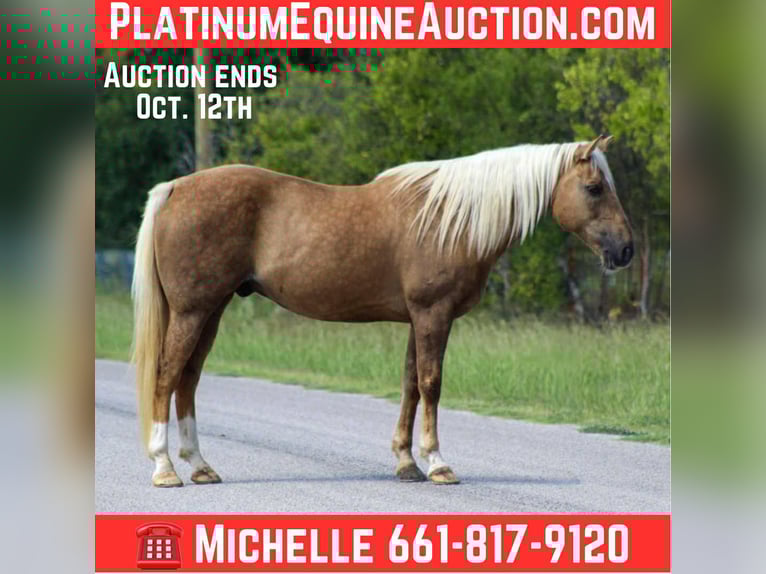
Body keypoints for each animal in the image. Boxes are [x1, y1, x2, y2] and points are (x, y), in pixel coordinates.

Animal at [131, 134, 633, 488]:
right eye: (593, 188)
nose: (625, 250)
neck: (451, 218)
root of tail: (175, 189)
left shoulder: (417, 319)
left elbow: (410, 384)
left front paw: (407, 462)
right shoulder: (433, 314)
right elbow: (431, 384)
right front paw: (438, 463)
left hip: (210, 312)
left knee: (188, 380)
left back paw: (200, 466)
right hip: (193, 312)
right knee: (167, 376)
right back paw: (165, 468)